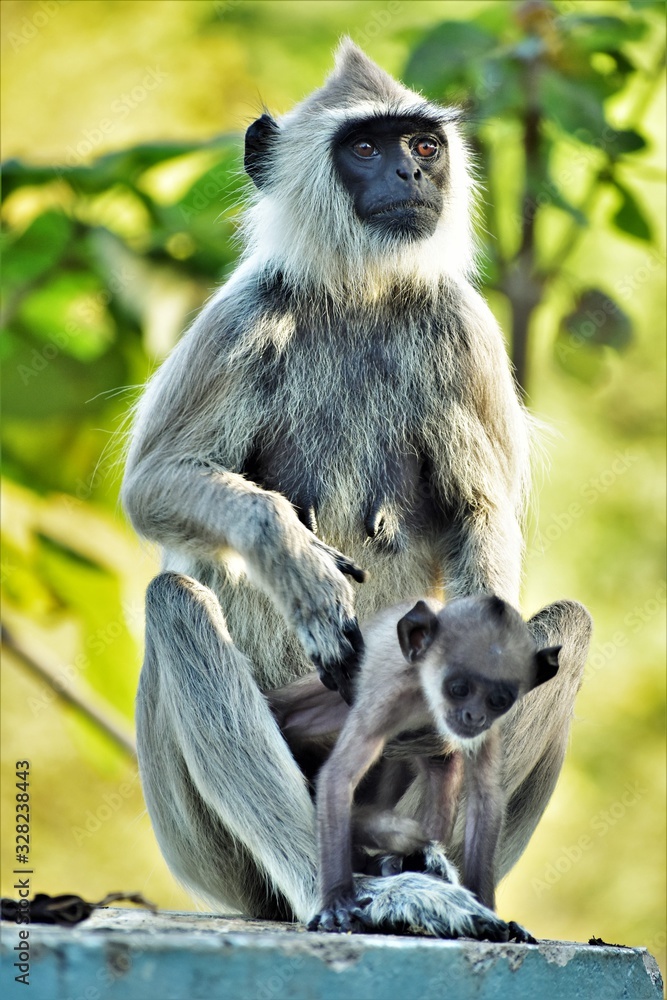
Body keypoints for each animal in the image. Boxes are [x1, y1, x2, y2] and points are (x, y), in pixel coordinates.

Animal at [296, 595, 561, 934]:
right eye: (459, 689)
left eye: (498, 700)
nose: (474, 716)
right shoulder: (390, 698)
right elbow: (339, 775)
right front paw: (337, 901)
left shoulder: (486, 730)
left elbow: (485, 796)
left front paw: (486, 910)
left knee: (442, 773)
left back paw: (413, 861)